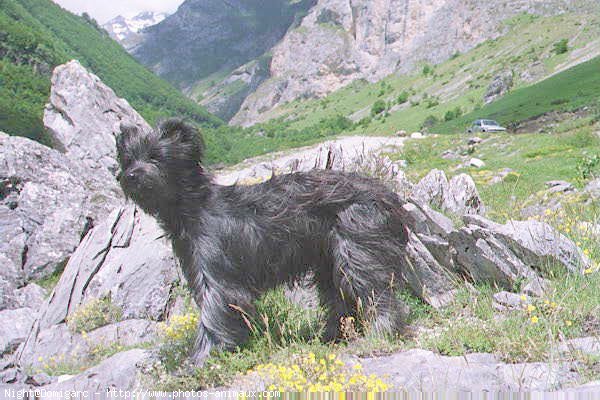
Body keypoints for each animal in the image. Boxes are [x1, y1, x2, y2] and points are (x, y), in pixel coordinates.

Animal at [116, 119, 408, 366]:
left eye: (156, 156)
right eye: (128, 159)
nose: (130, 176)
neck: (194, 207)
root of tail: (386, 194)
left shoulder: (218, 278)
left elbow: (213, 318)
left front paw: (201, 360)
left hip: (357, 253)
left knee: (376, 294)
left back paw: (380, 333)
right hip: (329, 261)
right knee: (341, 300)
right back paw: (332, 336)